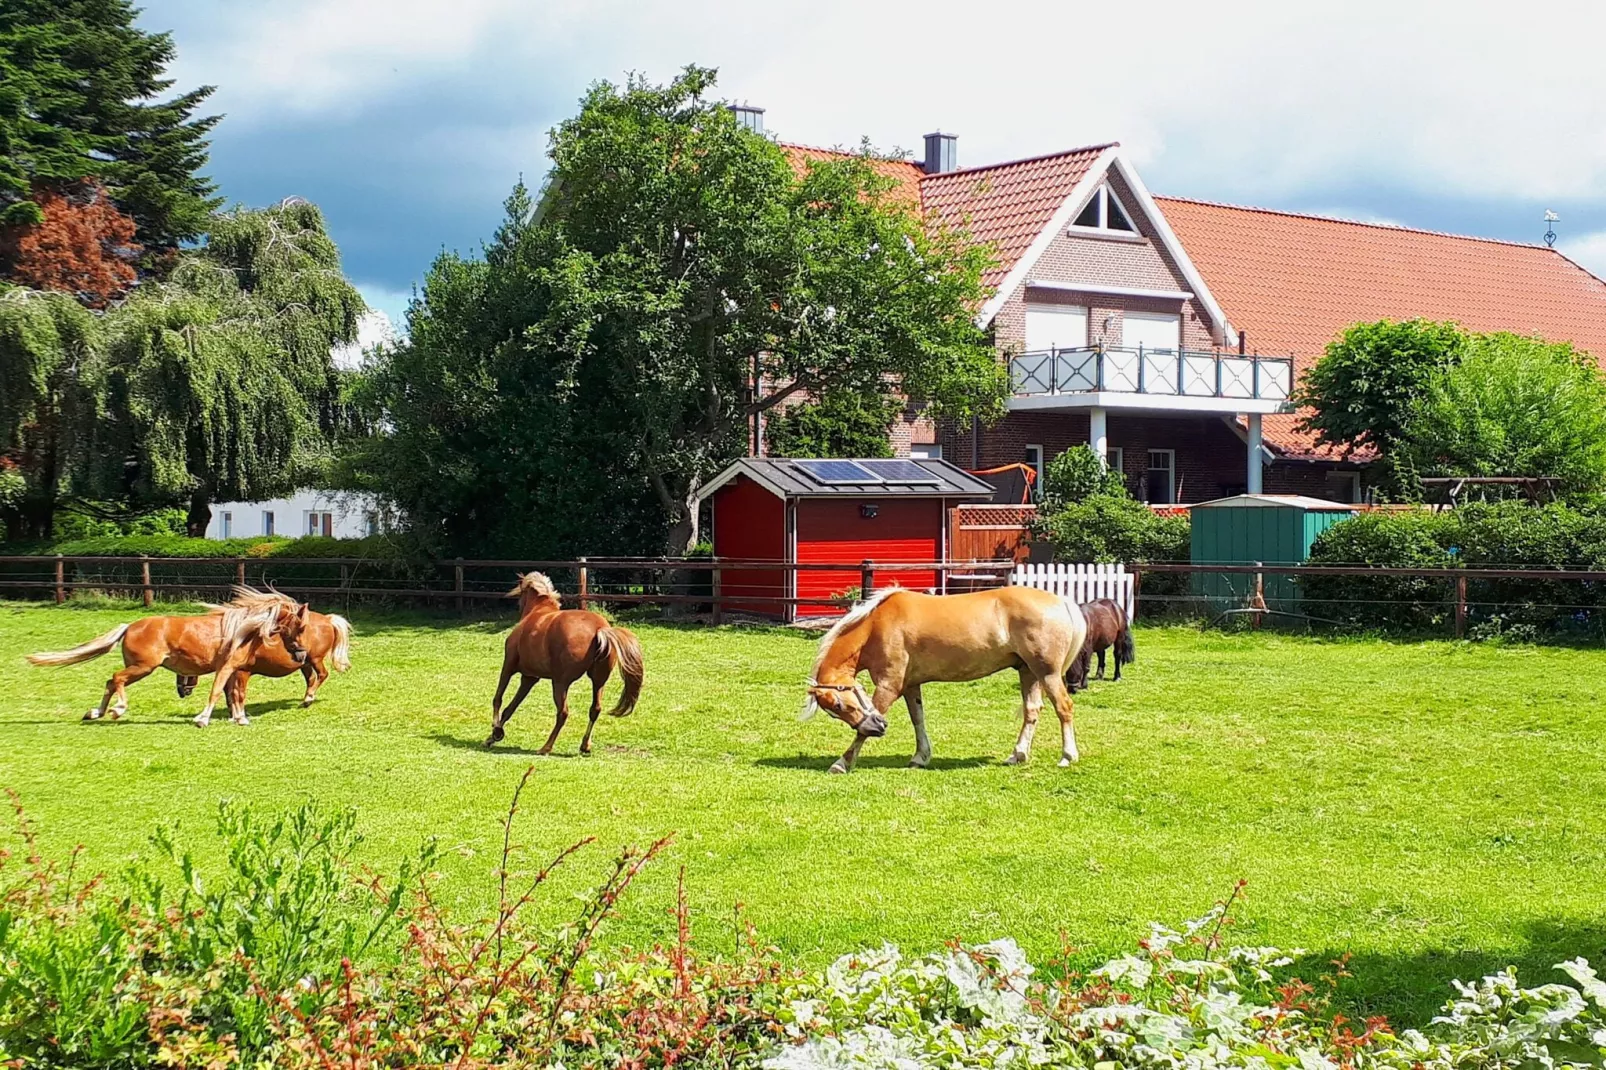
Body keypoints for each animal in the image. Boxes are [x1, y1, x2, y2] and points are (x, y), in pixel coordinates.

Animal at [26, 588, 309, 729]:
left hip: (139, 668)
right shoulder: (227, 667)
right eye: (300, 627)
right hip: (143, 667)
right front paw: (202, 720)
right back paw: (118, 709)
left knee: (110, 681)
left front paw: (240, 719)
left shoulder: (234, 670)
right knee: (116, 679)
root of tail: (130, 626)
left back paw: (96, 713)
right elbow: (218, 693)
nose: (301, 653)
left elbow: (235, 695)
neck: (243, 629)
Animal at [174, 588, 353, 713]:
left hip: (314, 659)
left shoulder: (240, 670)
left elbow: (233, 691)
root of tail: (328, 619)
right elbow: (228, 689)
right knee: (311, 679)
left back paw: (309, 698)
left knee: (322, 675)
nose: (181, 691)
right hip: (305, 664)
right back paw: (306, 700)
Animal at [481, 571, 645, 755]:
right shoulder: (529, 678)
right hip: (598, 681)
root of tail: (600, 629)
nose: (518, 605)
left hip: (560, 683)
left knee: (563, 713)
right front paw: (494, 735)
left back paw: (546, 747)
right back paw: (585, 745)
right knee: (595, 709)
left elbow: (498, 698)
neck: (538, 611)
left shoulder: (508, 666)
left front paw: (495, 731)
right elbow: (511, 708)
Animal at [803, 578, 1092, 771]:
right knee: (1032, 710)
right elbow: (918, 719)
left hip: (1047, 673)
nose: (878, 727)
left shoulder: (889, 685)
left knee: (1064, 708)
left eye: (838, 705)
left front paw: (841, 763)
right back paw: (1017, 755)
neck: (876, 627)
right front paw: (920, 757)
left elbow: (865, 730)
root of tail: (1061, 601)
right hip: (1028, 671)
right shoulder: (910, 685)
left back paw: (1067, 756)